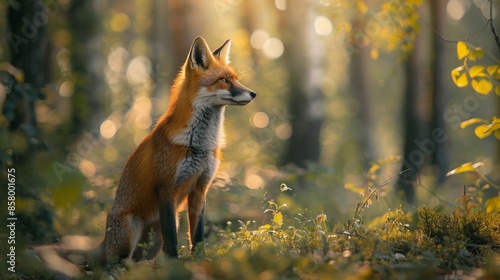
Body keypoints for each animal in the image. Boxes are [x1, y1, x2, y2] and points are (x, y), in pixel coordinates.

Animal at [99, 36, 254, 262]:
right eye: (224, 80)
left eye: (235, 78)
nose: (253, 93)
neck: (200, 144)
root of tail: (103, 242)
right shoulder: (166, 188)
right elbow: (172, 236)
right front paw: (174, 263)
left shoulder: (200, 188)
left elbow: (197, 234)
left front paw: (199, 259)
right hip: (130, 229)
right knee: (114, 264)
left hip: (153, 240)